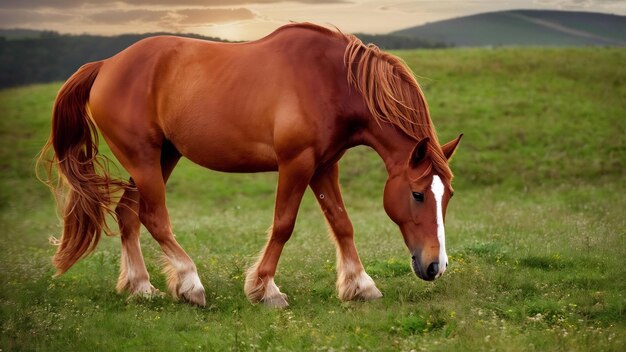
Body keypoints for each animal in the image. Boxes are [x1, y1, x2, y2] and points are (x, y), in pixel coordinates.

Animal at [39, 23, 458, 306]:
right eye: (418, 194)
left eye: (448, 195)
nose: (435, 266)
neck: (331, 79)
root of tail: (107, 64)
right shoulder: (296, 164)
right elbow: (284, 224)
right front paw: (264, 289)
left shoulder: (324, 166)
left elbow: (342, 224)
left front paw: (360, 285)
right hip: (144, 159)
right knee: (153, 218)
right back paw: (189, 283)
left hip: (163, 156)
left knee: (128, 213)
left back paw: (142, 287)